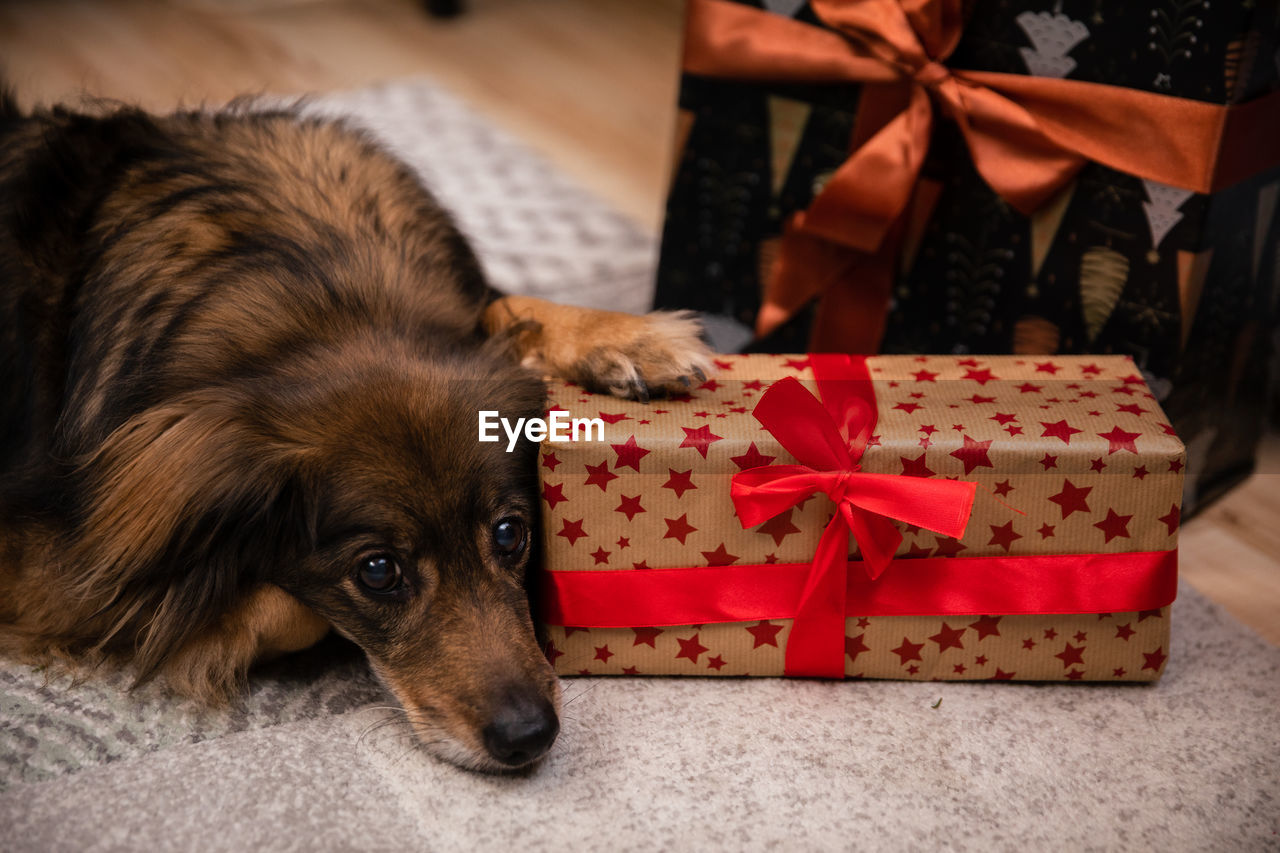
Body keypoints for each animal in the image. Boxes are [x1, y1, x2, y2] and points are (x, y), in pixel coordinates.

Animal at [0, 92, 711, 768]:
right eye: (377, 572)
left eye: (511, 534)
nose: (528, 737)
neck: (324, 303)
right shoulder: (53, 574)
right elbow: (287, 606)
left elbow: (511, 306)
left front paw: (629, 338)